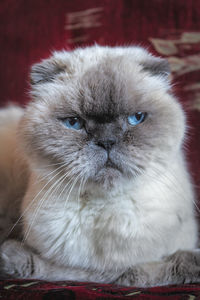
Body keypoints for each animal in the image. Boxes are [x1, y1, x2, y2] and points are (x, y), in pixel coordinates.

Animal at [0, 44, 198, 286]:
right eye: (74, 122)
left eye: (136, 118)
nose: (107, 142)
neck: (106, 208)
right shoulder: (90, 271)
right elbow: (143, 271)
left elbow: (165, 261)